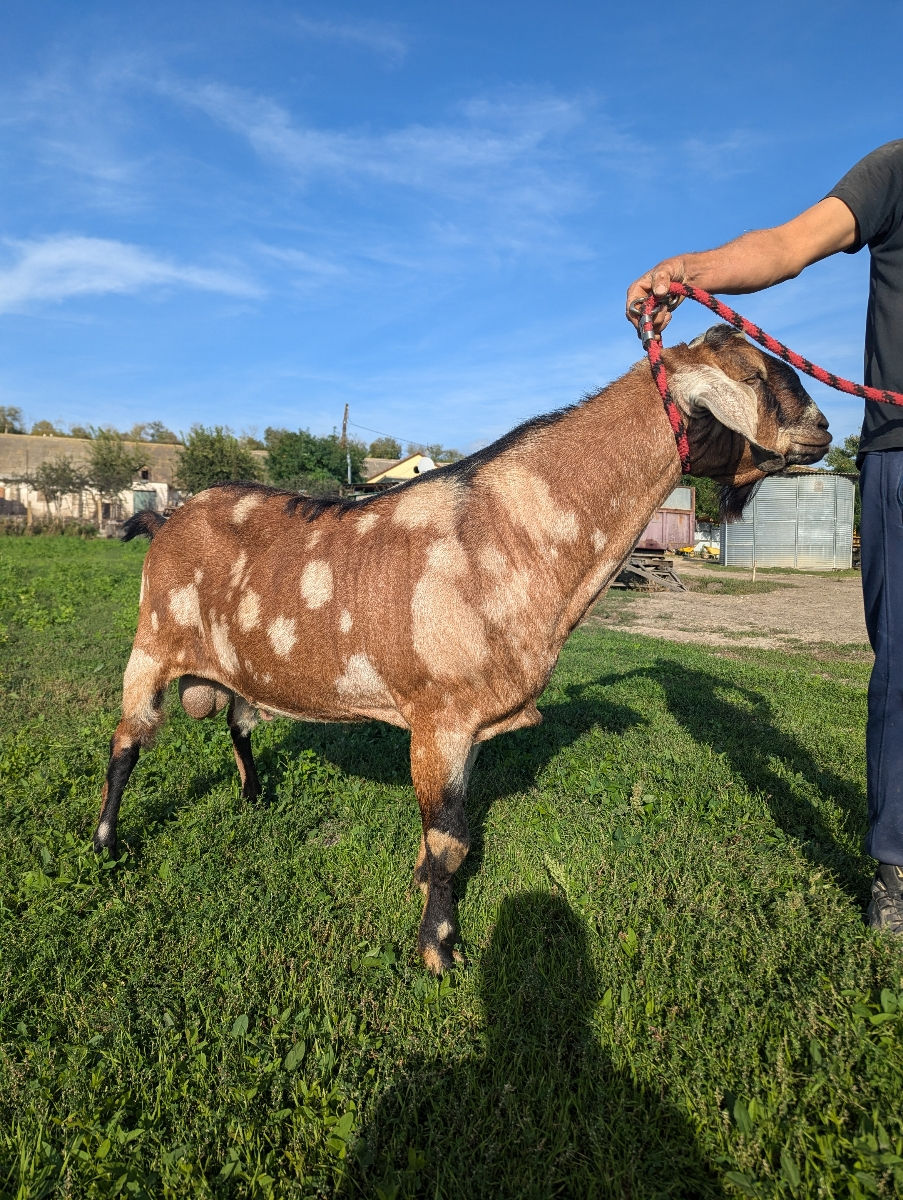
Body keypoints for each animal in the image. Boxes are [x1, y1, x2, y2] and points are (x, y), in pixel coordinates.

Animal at [95, 328, 830, 974]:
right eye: (752, 375)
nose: (822, 428)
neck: (507, 533)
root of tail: (165, 518)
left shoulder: (470, 726)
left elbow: (452, 835)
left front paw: (425, 895)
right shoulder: (438, 719)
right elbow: (449, 841)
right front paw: (438, 948)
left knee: (239, 719)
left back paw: (252, 797)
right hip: (151, 644)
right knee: (127, 743)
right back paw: (105, 845)